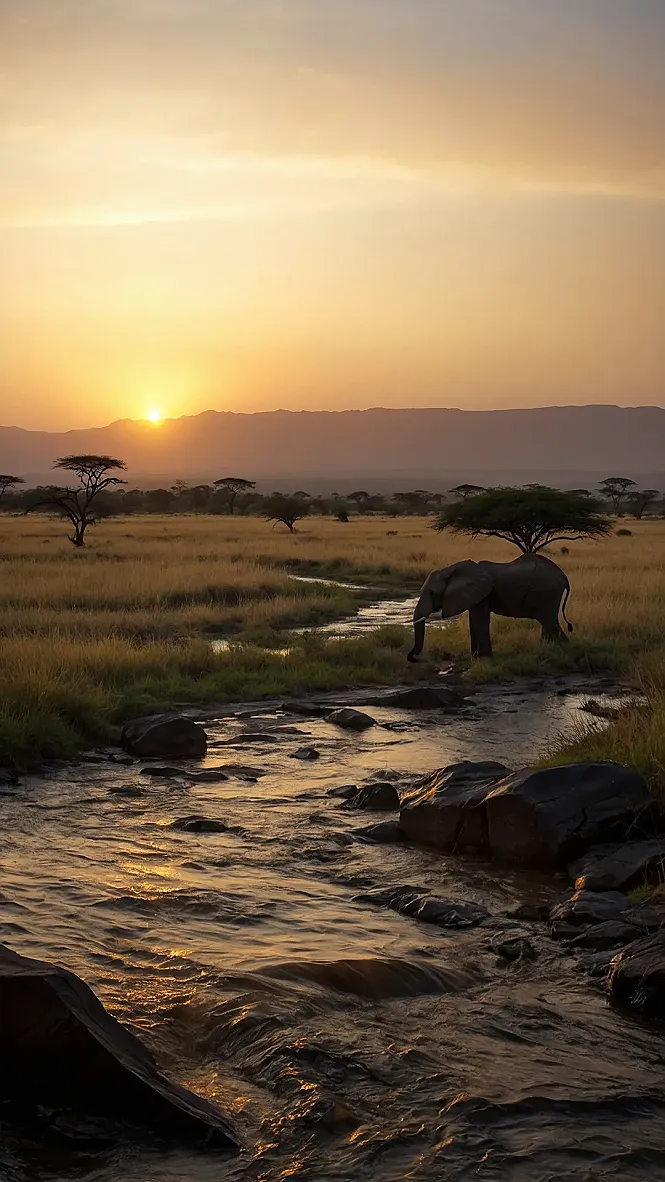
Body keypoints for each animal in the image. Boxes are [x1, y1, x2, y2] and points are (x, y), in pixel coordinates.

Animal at [407, 553, 573, 661]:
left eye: (432, 593)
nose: (413, 658)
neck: (450, 570)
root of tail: (563, 576)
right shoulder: (475, 594)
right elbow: (473, 621)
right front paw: (475, 658)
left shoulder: (483, 593)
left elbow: (480, 621)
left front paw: (484, 659)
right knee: (548, 622)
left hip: (546, 592)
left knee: (549, 622)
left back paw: (560, 650)